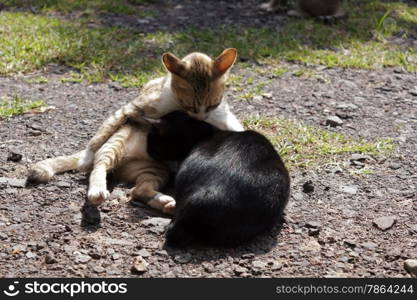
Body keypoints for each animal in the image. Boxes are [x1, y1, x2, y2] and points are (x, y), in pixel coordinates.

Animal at [29, 48, 242, 213]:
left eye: (213, 104)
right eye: (188, 105)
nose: (200, 120)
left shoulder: (221, 117)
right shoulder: (132, 108)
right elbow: (100, 134)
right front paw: (87, 156)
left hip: (154, 169)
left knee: (137, 191)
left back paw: (165, 203)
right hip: (116, 144)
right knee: (99, 165)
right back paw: (97, 189)